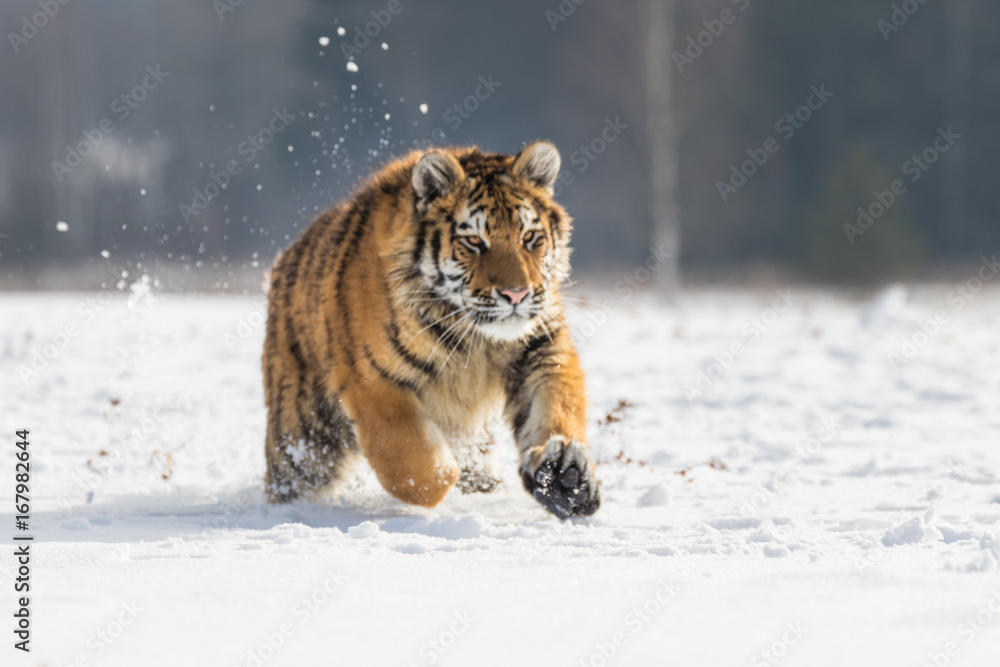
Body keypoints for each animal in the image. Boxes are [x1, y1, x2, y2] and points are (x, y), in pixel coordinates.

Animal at [261, 140, 600, 519]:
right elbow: (413, 460)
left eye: (529, 237)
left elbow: (556, 404)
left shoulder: (540, 345)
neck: (476, 337)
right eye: (474, 242)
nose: (517, 294)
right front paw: (444, 482)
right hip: (305, 438)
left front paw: (565, 474)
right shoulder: (372, 379)